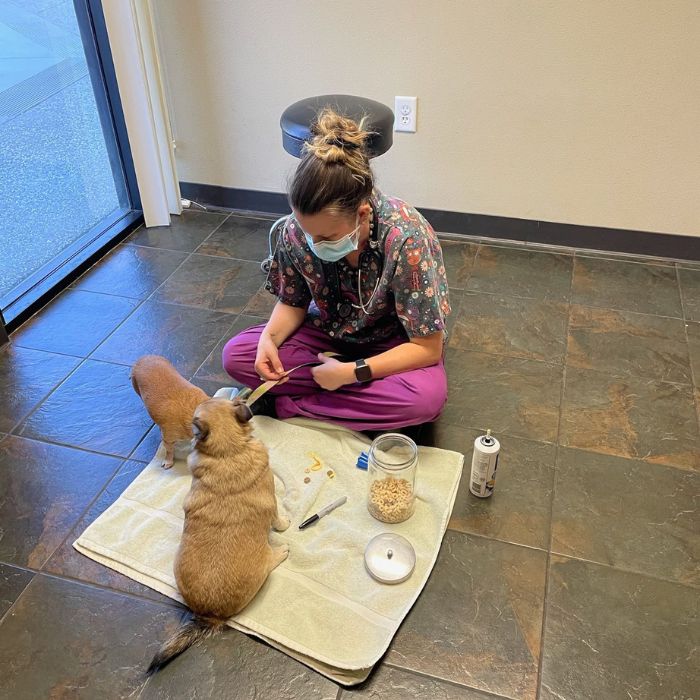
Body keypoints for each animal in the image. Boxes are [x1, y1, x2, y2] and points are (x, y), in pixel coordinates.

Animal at [148, 400, 290, 672]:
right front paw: (285, 525)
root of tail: (210, 615)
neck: (228, 453)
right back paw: (282, 551)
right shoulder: (272, 500)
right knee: (272, 561)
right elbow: (277, 518)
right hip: (264, 567)